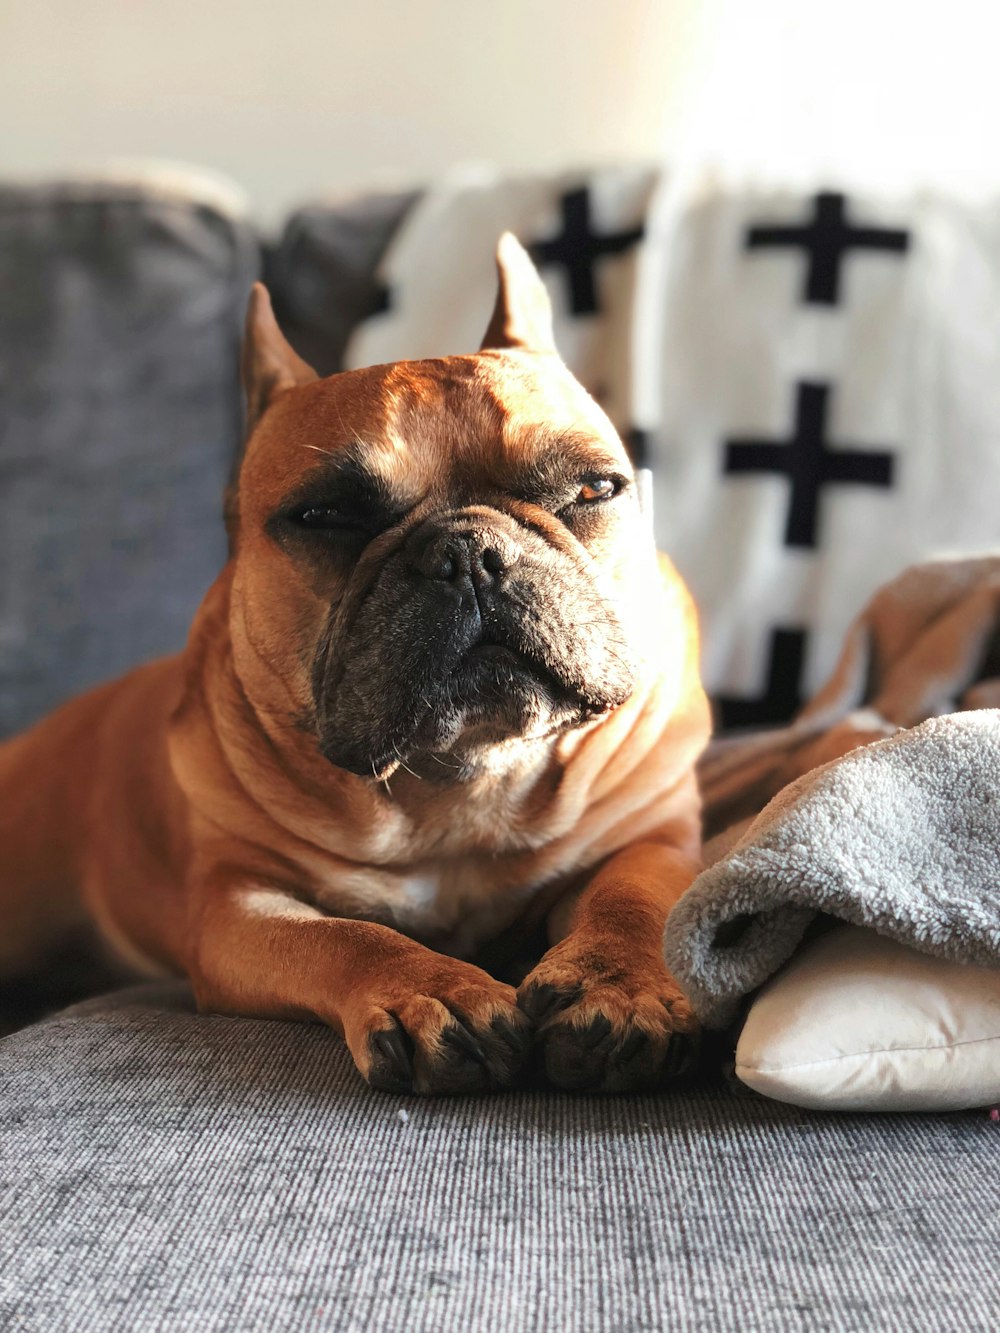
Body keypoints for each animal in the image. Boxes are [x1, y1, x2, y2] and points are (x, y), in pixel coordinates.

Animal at [0, 237, 714, 1093]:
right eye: (325, 516)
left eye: (593, 488)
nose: (469, 552)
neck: (455, 779)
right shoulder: (240, 905)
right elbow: (343, 935)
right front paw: (434, 990)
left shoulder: (653, 838)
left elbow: (633, 898)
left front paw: (620, 984)